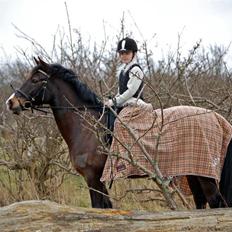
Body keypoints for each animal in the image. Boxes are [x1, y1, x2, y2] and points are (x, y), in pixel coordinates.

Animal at [5, 57, 232, 209]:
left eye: (36, 80)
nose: (11, 102)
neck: (89, 126)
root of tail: (217, 119)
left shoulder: (93, 178)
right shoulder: (98, 180)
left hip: (204, 175)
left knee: (216, 203)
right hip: (193, 173)